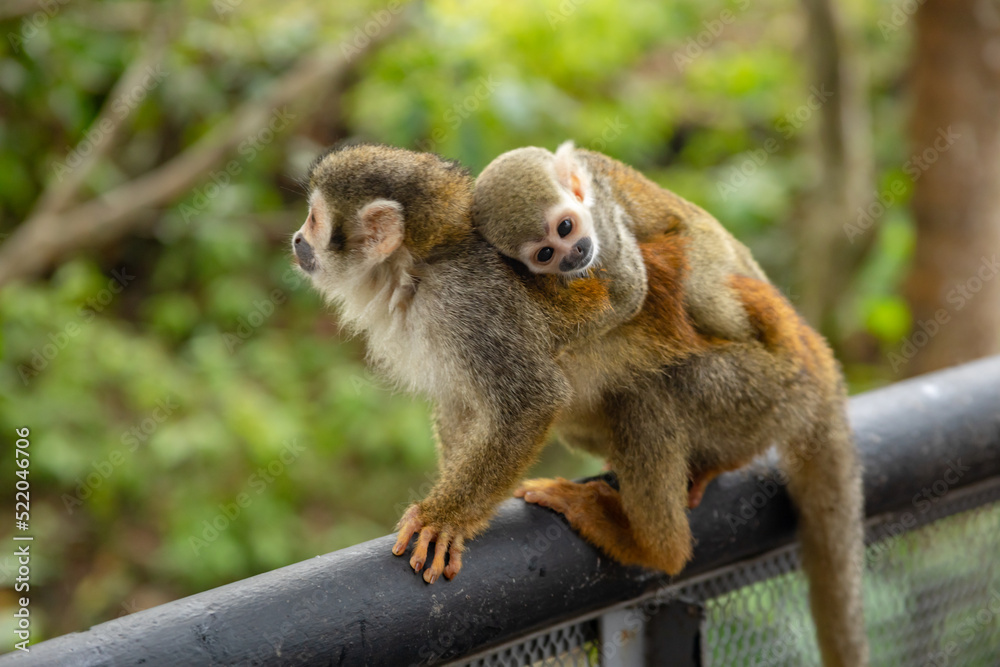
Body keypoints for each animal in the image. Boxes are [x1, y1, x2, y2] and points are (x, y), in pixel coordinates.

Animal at [293, 143, 868, 666]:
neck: (415, 268)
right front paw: (466, 509)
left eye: (315, 219)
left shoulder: (470, 302)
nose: (298, 240)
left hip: (757, 390)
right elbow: (463, 406)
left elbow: (532, 399)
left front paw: (447, 519)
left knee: (647, 394)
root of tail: (810, 355)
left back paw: (653, 544)